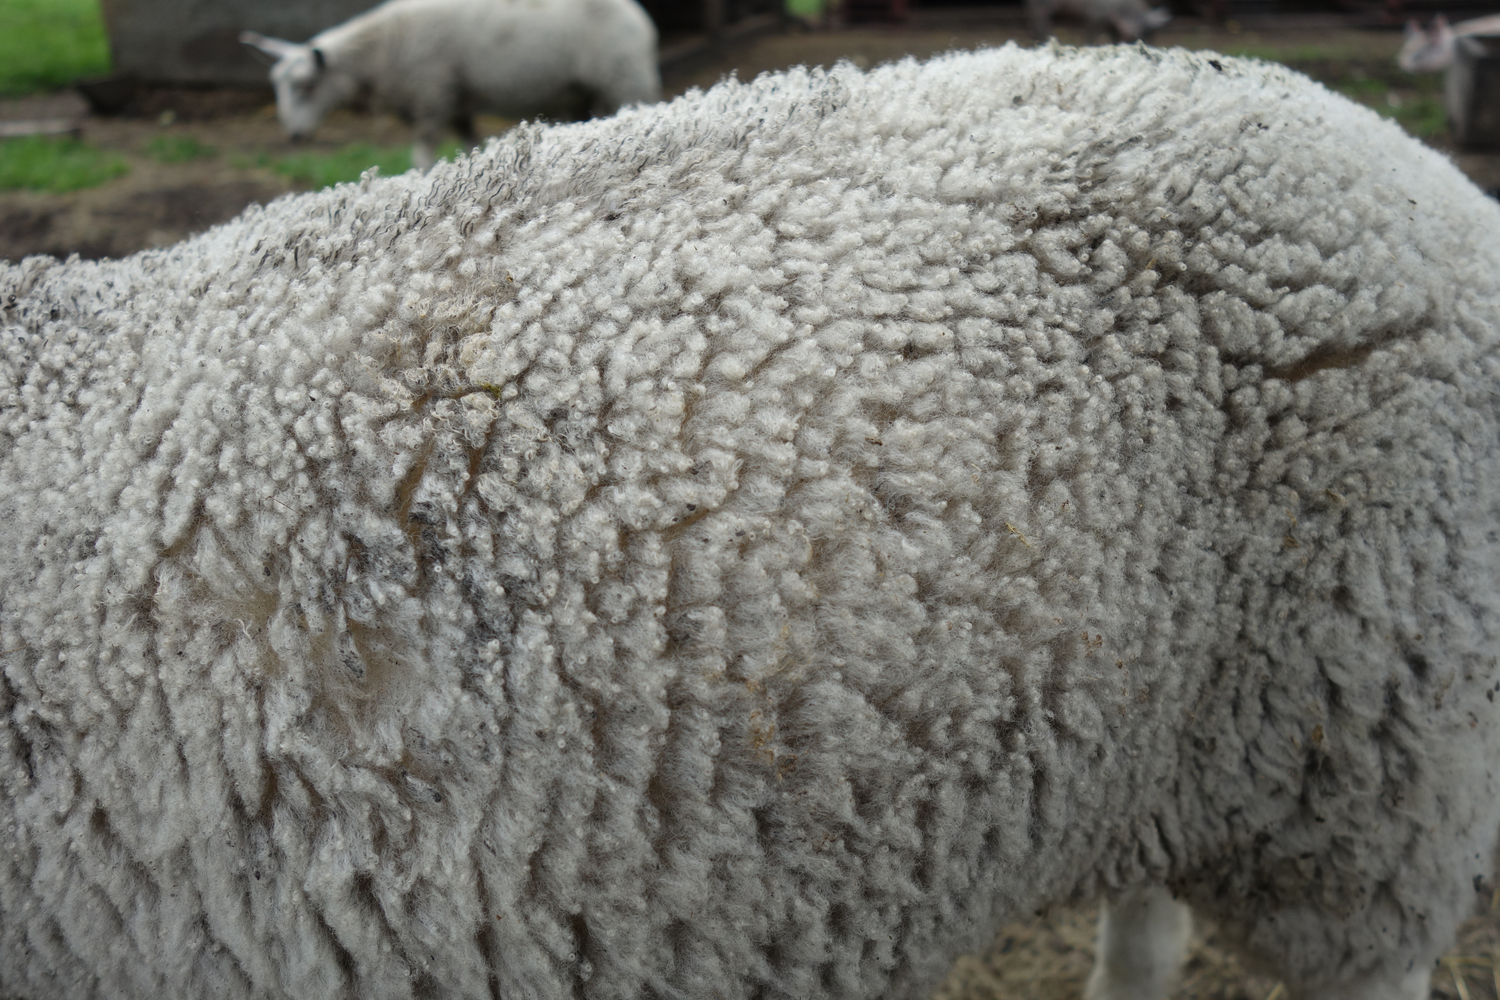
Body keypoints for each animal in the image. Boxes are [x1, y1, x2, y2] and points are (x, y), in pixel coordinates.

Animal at [240, 0, 660, 171]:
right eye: (276, 85)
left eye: (306, 85)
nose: (293, 137)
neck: (382, 48)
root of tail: (641, 18)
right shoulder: (457, 104)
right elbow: (470, 145)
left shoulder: (432, 94)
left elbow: (422, 156)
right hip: (584, 93)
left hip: (626, 77)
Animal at [1027, 0, 1170, 42]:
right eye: (1147, 30)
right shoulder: (1094, 18)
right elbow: (1092, 37)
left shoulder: (1111, 26)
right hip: (1041, 8)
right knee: (1039, 23)